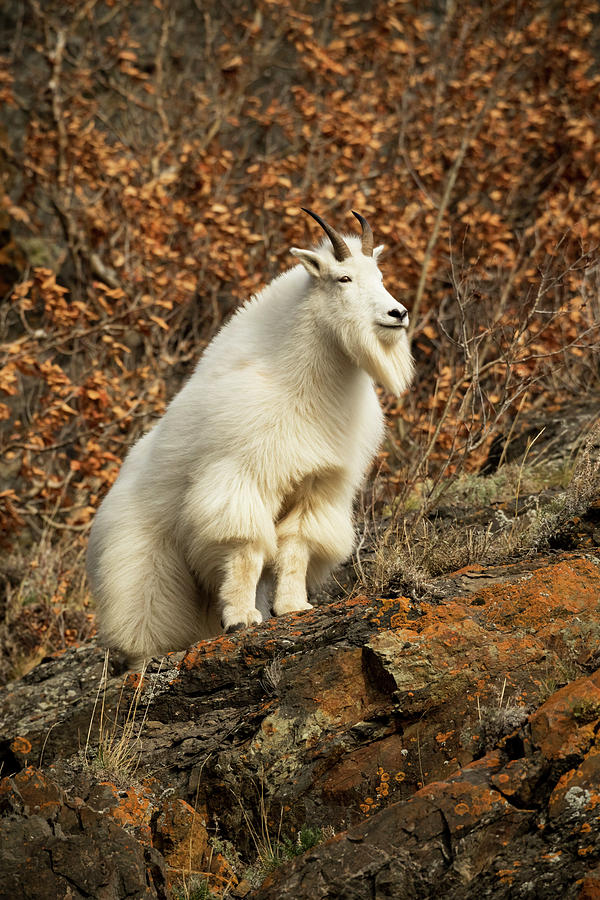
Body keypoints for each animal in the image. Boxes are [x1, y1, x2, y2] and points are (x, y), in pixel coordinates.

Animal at [86, 207, 414, 664]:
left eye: (380, 275)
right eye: (343, 278)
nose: (397, 314)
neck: (301, 381)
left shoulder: (315, 483)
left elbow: (295, 546)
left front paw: (294, 607)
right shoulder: (245, 474)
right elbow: (244, 549)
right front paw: (242, 619)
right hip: (140, 561)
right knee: (142, 618)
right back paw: (146, 660)